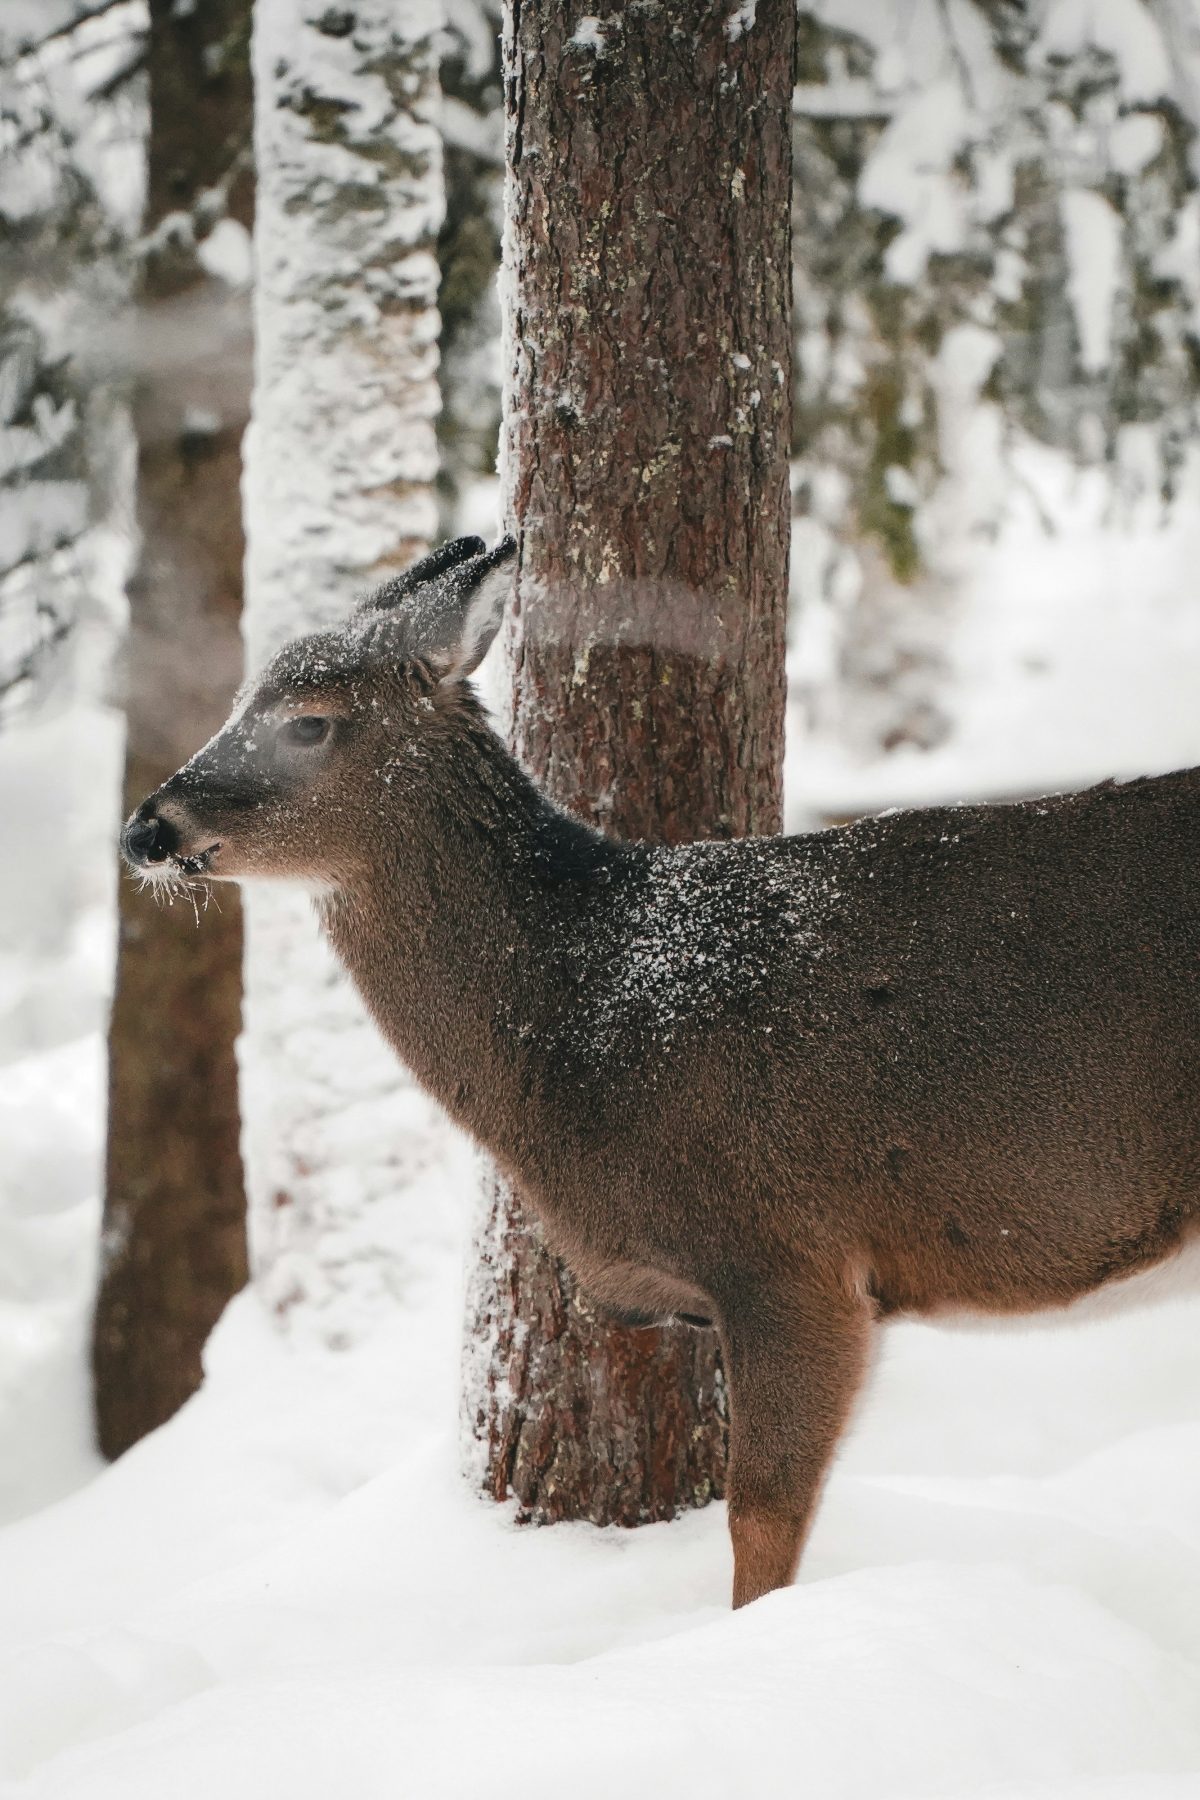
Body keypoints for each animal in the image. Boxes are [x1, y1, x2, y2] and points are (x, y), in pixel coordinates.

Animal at [119, 529, 1200, 1605]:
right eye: (235, 702)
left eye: (308, 723)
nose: (146, 829)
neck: (592, 1018)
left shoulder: (792, 1252)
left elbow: (762, 1523)